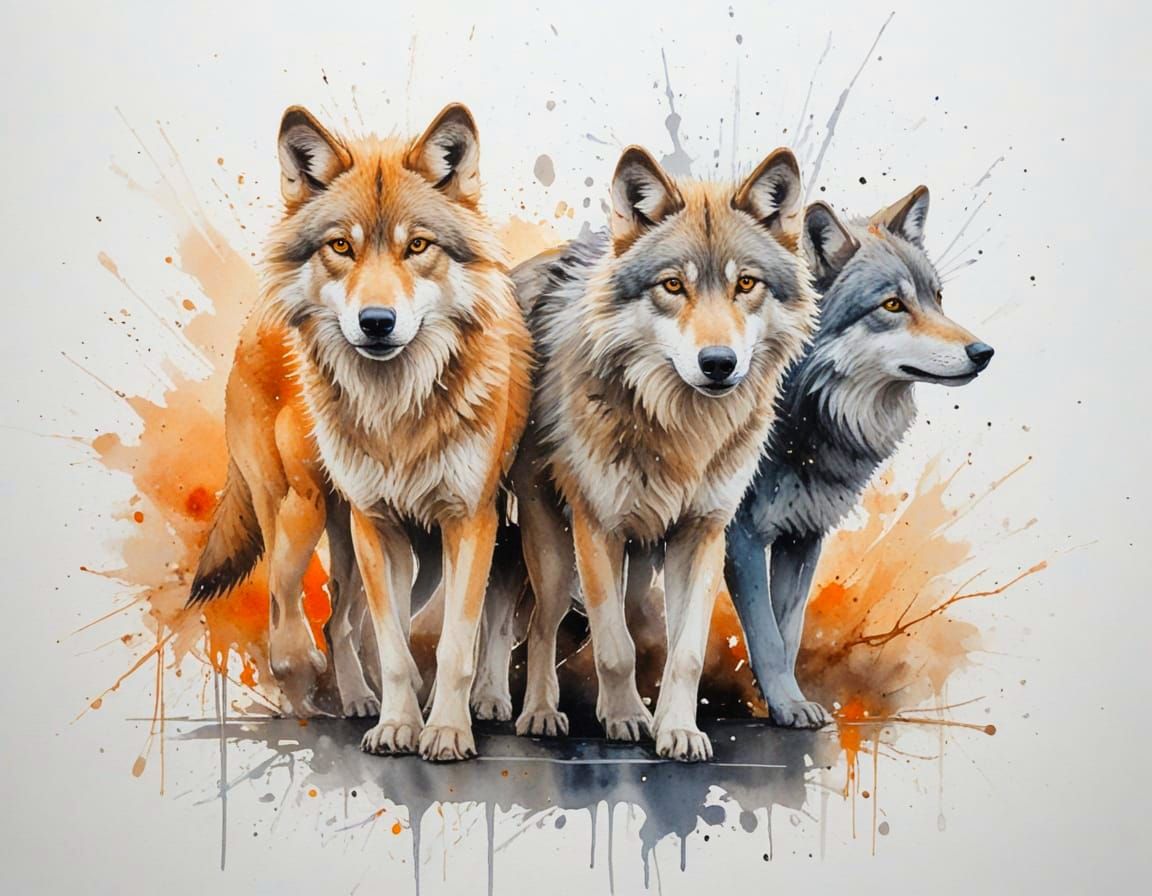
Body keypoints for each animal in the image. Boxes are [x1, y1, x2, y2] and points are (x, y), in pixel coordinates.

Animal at [187, 103, 533, 761]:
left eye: (417, 245)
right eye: (341, 246)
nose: (376, 322)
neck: (398, 409)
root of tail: (253, 322)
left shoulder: (468, 522)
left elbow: (453, 644)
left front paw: (444, 730)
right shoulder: (377, 523)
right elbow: (395, 648)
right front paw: (399, 724)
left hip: (394, 552)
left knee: (339, 618)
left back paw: (358, 699)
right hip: (303, 512)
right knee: (291, 605)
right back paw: (310, 684)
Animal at [488, 145, 818, 760]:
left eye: (746, 284)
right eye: (672, 285)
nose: (719, 363)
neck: (681, 430)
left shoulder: (703, 533)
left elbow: (683, 651)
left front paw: (679, 731)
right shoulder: (597, 526)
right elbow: (615, 647)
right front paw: (624, 719)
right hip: (551, 543)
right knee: (542, 623)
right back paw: (538, 712)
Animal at [724, 187, 995, 728]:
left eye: (936, 298)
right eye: (892, 304)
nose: (984, 352)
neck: (803, 415)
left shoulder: (802, 536)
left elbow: (786, 632)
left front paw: (782, 700)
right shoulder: (740, 537)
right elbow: (766, 633)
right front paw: (787, 705)